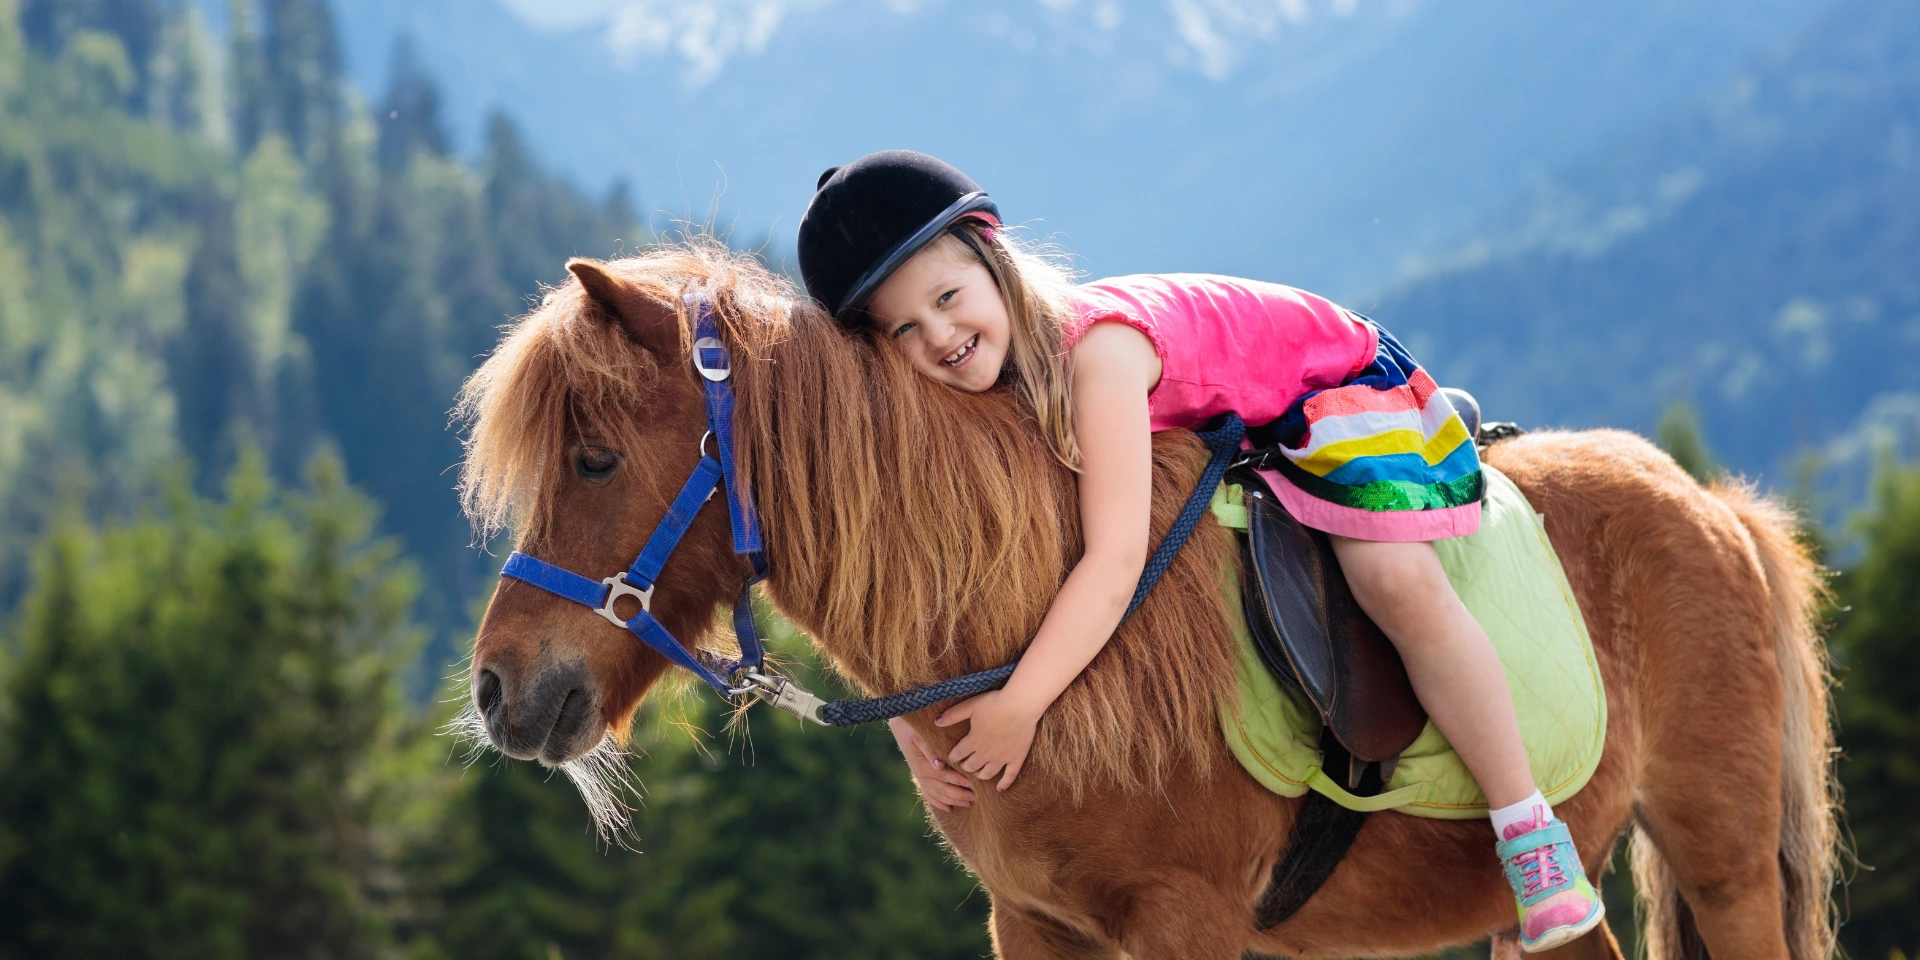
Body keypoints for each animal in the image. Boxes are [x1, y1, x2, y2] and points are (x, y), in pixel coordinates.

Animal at [453, 240, 1838, 959]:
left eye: (594, 459)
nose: (499, 689)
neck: (1040, 651)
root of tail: (1714, 506)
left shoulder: (1188, 923)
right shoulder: (1033, 925)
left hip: (1720, 865)